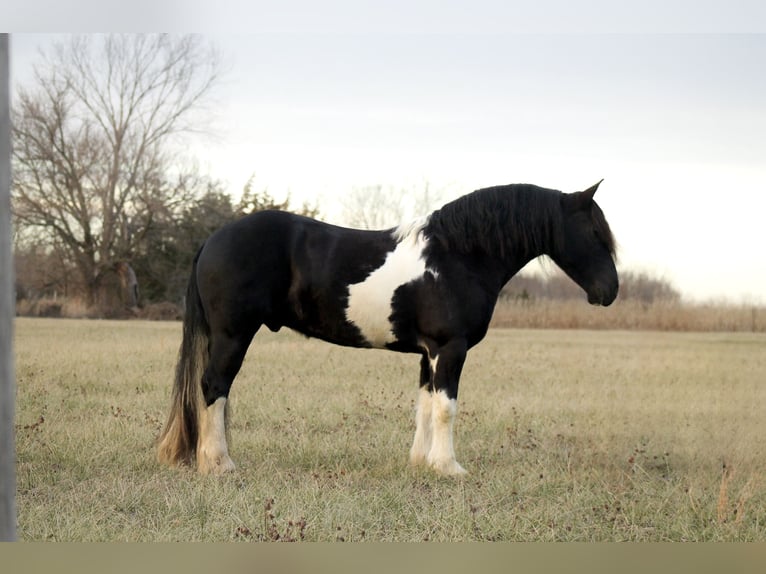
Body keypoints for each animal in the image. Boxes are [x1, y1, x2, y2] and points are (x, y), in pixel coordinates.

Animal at [156, 180, 616, 476]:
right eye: (595, 231)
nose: (609, 291)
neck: (458, 256)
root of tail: (213, 239)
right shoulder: (451, 348)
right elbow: (446, 408)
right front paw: (450, 468)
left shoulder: (430, 353)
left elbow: (425, 405)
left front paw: (422, 464)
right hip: (233, 336)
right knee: (214, 387)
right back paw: (219, 464)